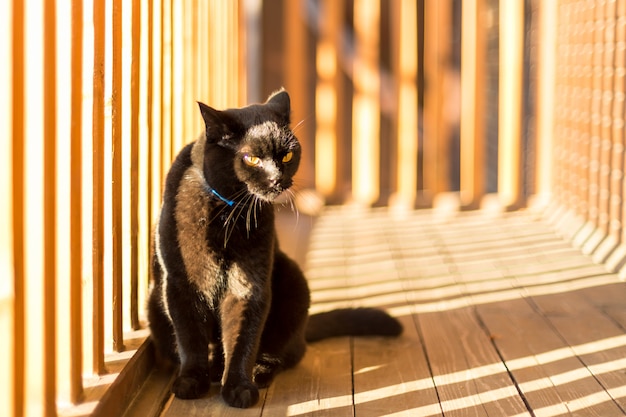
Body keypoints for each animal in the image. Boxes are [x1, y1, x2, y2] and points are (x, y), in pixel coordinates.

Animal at [146, 89, 400, 408]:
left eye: (287, 155)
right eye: (251, 158)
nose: (277, 178)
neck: (226, 214)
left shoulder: (250, 283)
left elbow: (243, 337)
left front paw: (239, 387)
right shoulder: (181, 284)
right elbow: (190, 337)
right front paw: (192, 381)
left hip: (293, 280)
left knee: (284, 351)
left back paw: (254, 371)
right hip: (154, 300)